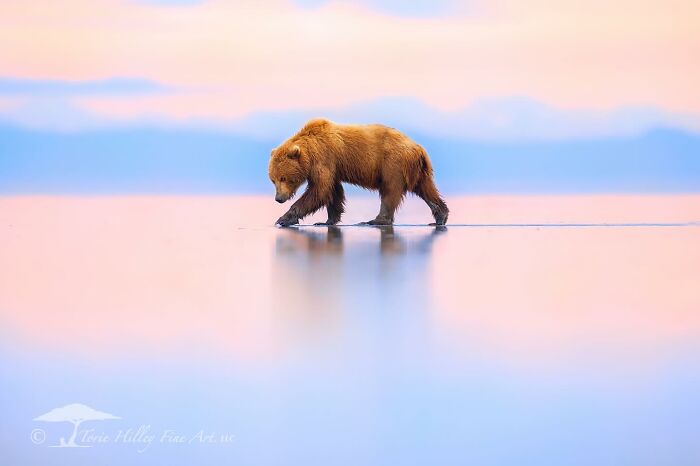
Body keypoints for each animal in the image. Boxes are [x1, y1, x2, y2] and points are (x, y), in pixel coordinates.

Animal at [268, 119, 449, 227]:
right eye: (272, 180)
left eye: (283, 178)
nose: (278, 199)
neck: (310, 152)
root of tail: (419, 148)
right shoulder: (334, 167)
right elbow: (333, 192)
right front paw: (328, 220)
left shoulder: (324, 159)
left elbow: (319, 191)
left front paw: (284, 218)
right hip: (417, 170)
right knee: (426, 189)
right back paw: (440, 217)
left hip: (393, 163)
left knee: (390, 190)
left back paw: (376, 220)